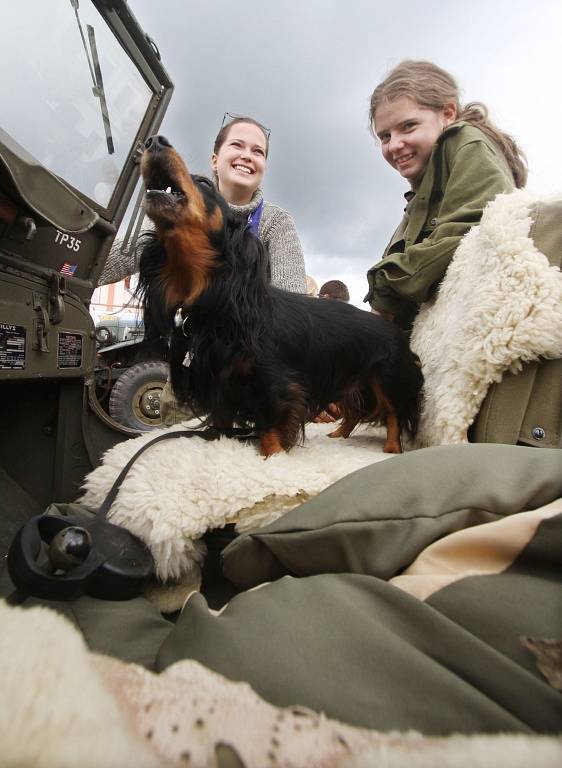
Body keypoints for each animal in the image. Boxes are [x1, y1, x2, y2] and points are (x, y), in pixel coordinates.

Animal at [138, 135, 422, 456]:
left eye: (204, 183)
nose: (154, 141)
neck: (217, 299)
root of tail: (399, 332)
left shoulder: (276, 383)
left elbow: (272, 428)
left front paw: (271, 455)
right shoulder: (221, 383)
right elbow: (221, 420)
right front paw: (218, 440)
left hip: (387, 377)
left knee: (393, 412)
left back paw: (392, 447)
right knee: (355, 410)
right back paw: (339, 433)